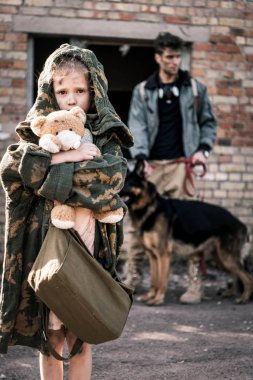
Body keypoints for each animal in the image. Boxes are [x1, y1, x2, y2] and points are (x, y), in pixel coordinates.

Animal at [121, 160, 253, 306]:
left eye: (128, 182)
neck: (150, 207)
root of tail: (241, 223)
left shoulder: (163, 255)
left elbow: (161, 280)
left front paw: (158, 299)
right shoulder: (153, 256)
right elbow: (154, 279)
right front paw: (150, 296)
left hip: (226, 257)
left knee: (247, 277)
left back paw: (244, 298)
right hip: (221, 258)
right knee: (236, 275)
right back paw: (230, 293)